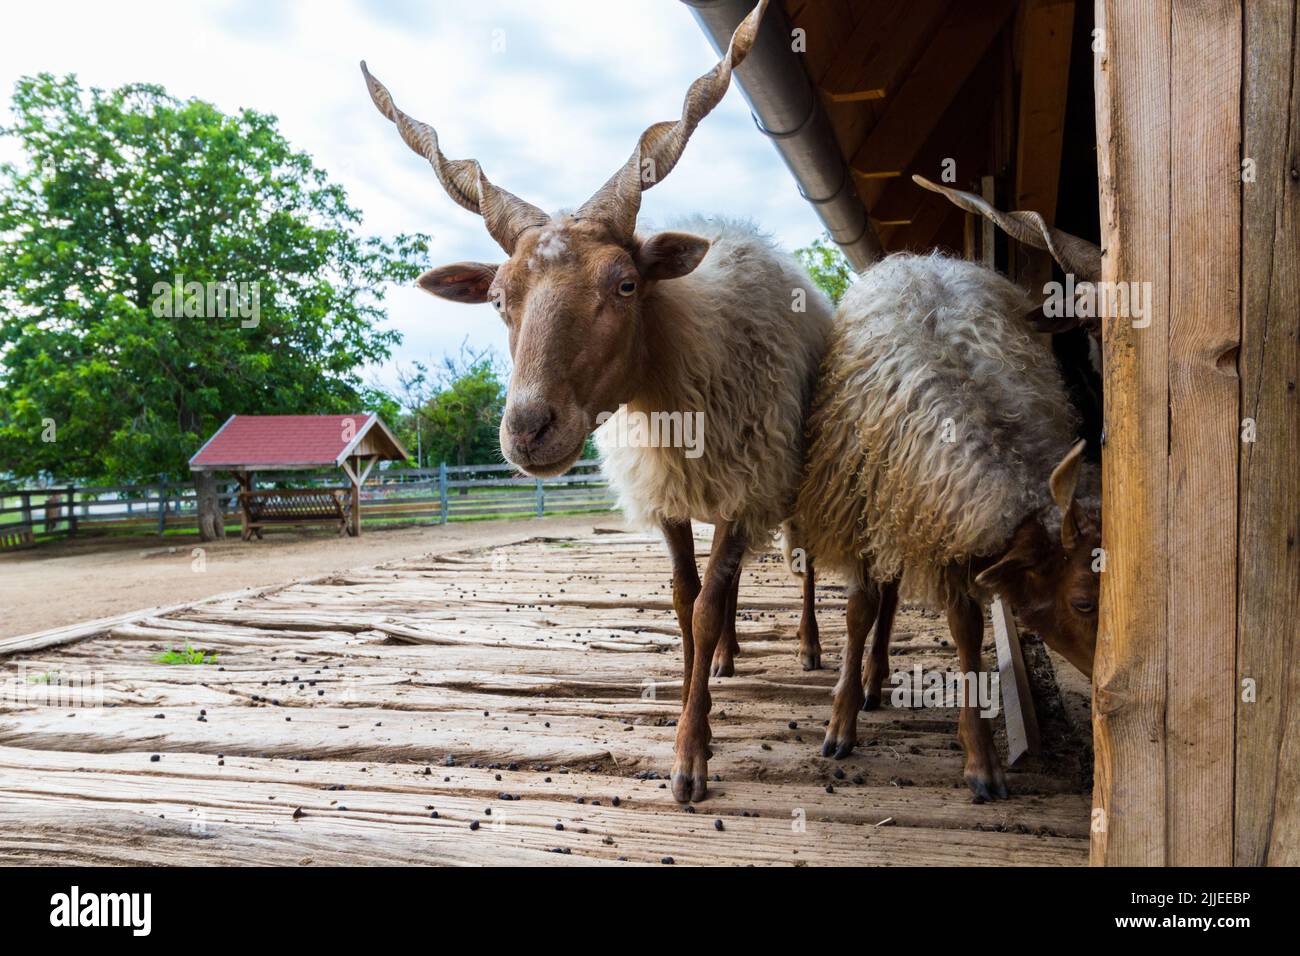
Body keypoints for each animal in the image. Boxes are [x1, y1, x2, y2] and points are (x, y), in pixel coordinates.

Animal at [361, 0, 826, 806]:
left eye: (627, 283)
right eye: (496, 297)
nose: (527, 429)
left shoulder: (745, 486)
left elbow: (705, 607)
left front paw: (690, 755)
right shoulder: (669, 491)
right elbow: (685, 601)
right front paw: (696, 698)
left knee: (804, 566)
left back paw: (808, 648)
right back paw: (731, 659)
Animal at [795, 254, 1102, 801]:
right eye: (1083, 602)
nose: (1109, 681)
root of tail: (922, 257)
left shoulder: (952, 531)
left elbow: (966, 631)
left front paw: (980, 757)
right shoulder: (865, 509)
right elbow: (858, 613)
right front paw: (839, 725)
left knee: (894, 595)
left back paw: (877, 676)